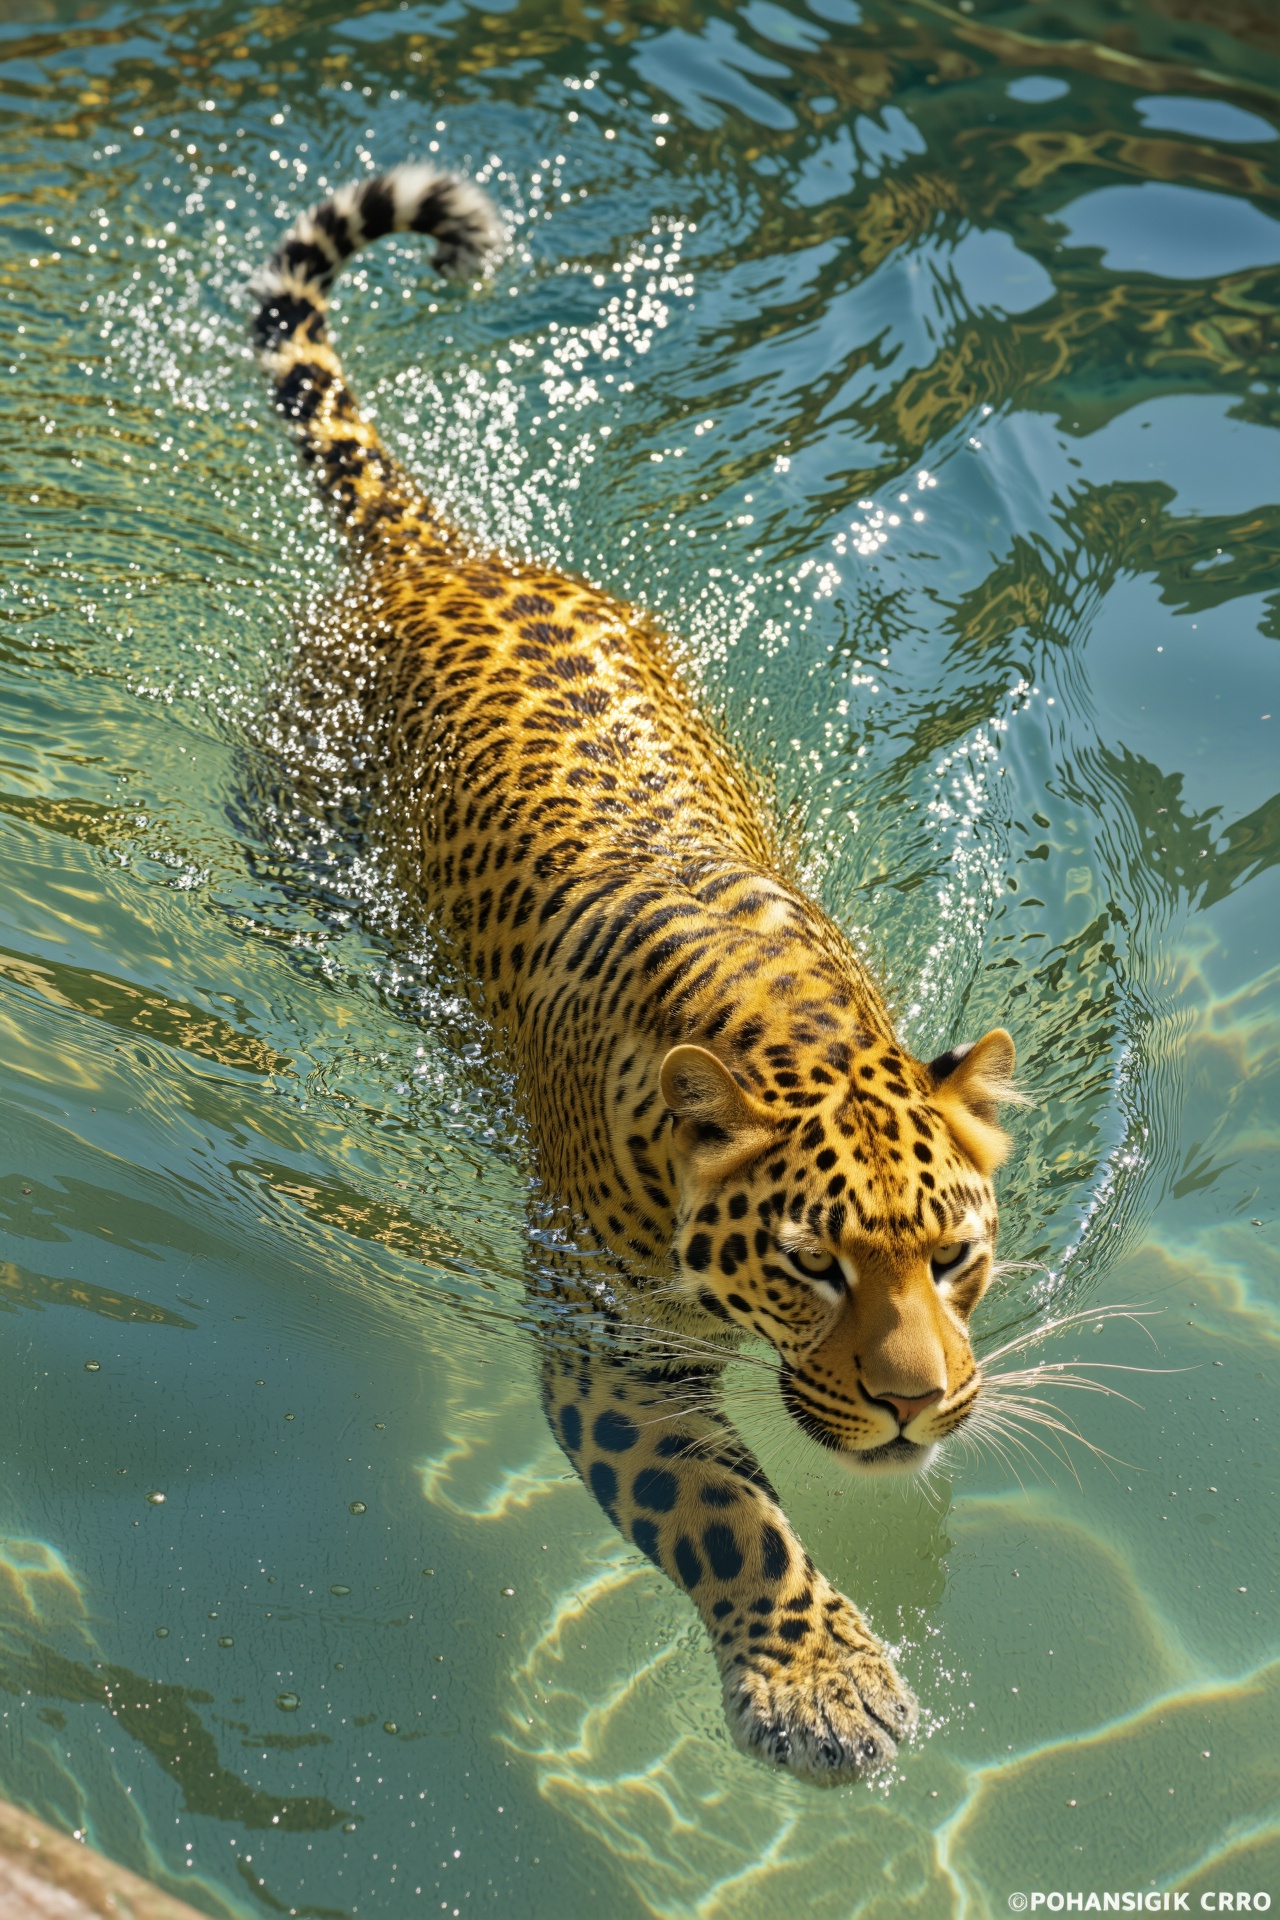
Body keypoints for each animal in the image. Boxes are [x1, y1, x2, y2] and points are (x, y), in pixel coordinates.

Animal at [251, 163, 1023, 1786]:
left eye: (953, 1256)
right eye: (810, 1264)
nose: (921, 1408)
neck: (791, 1019)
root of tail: (448, 555)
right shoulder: (610, 1353)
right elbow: (728, 1520)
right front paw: (824, 1688)